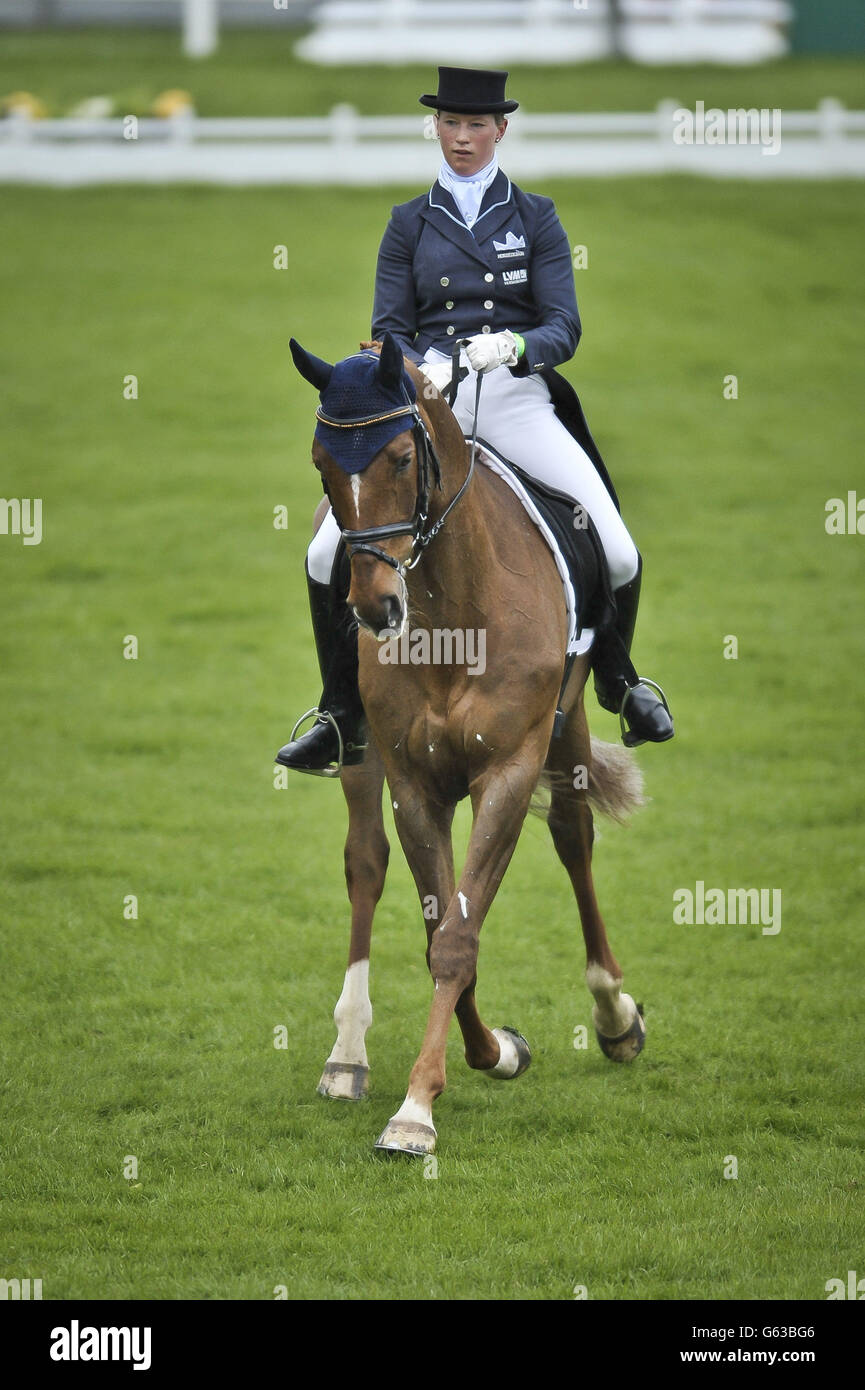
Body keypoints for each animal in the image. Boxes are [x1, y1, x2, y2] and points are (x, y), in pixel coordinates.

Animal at [293, 330, 650, 1156]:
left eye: (399, 458)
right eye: (321, 464)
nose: (374, 609)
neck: (454, 610)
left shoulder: (509, 772)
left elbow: (457, 936)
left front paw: (421, 1105)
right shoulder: (414, 784)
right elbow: (442, 933)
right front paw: (483, 1058)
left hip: (569, 725)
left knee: (573, 837)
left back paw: (614, 1017)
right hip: (360, 751)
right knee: (364, 866)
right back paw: (346, 1055)